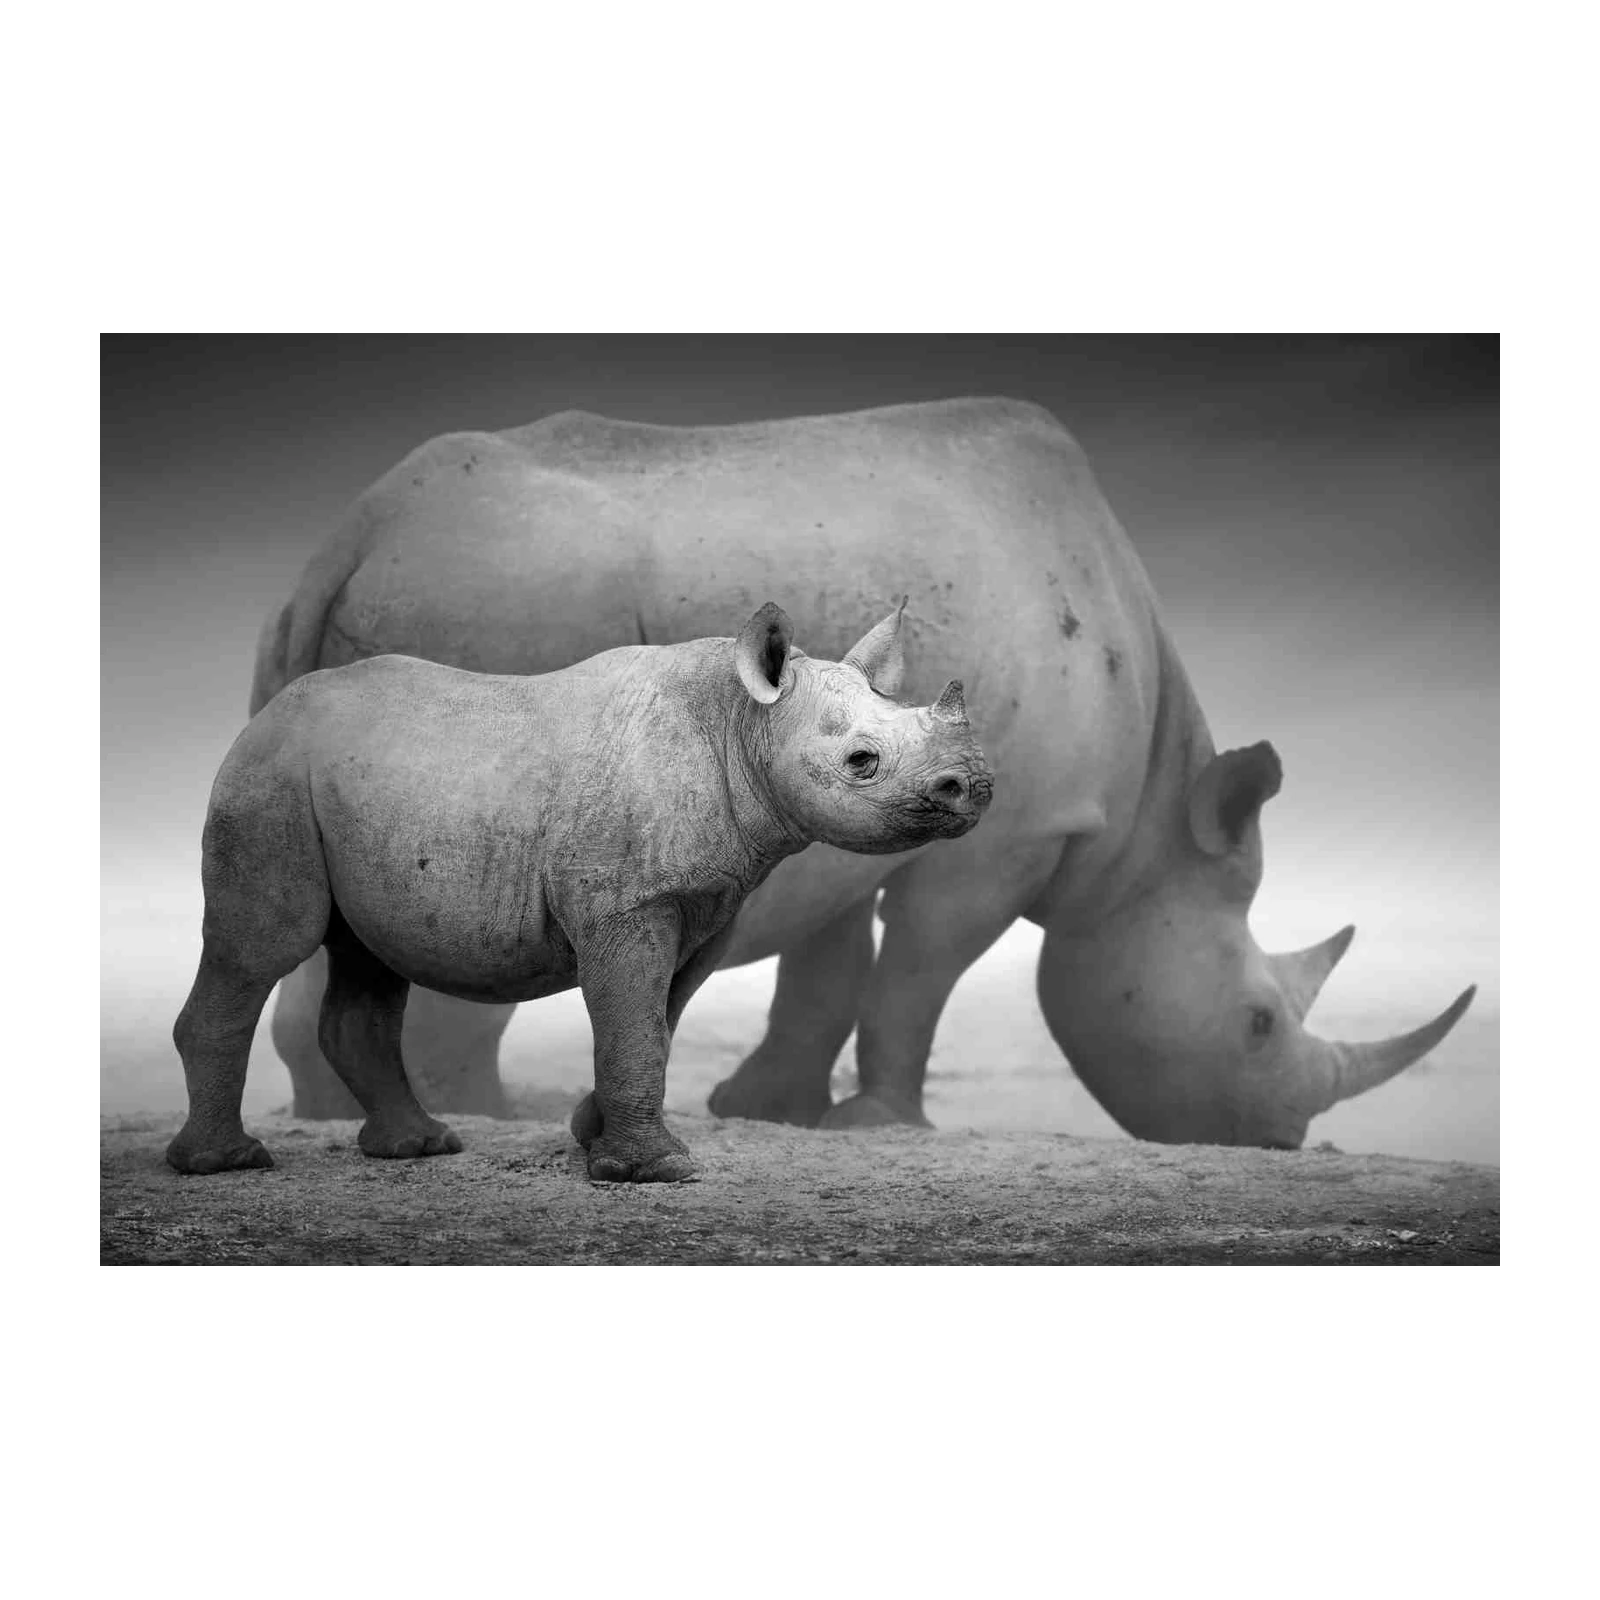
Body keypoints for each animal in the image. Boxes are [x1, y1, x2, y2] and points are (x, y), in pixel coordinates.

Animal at [168, 601, 992, 1181]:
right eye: (861, 761)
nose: (975, 787)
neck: (743, 725)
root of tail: (267, 714)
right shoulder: (628, 904)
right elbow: (634, 1022)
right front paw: (654, 1172)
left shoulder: (706, 903)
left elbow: (657, 1021)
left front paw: (591, 1140)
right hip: (270, 777)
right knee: (266, 948)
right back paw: (226, 1164)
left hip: (344, 785)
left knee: (367, 959)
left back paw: (419, 1148)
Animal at [251, 397, 1475, 1150]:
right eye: (1259, 1024)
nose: (1280, 1138)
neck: (1144, 833)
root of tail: (353, 533)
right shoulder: (1013, 833)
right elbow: (917, 974)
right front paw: (881, 1124)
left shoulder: (842, 797)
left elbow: (829, 967)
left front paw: (773, 1109)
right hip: (505, 603)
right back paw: (490, 1115)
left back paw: (346, 1118)